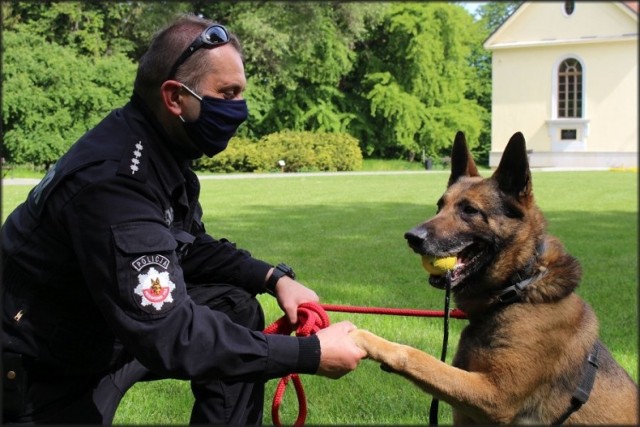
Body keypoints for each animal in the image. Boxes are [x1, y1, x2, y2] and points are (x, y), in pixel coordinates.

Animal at [352, 133, 636, 424]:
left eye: (469, 210)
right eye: (439, 206)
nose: (412, 237)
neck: (516, 289)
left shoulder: (495, 395)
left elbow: (415, 355)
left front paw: (365, 338)